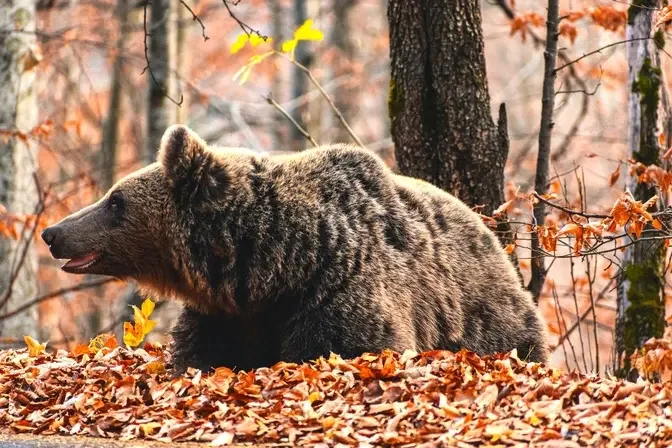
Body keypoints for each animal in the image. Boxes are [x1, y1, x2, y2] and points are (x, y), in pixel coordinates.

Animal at [40, 124, 544, 372]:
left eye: (115, 201)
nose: (53, 233)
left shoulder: (338, 288)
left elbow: (348, 345)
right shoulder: (230, 313)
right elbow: (201, 354)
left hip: (486, 321)